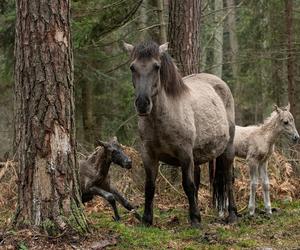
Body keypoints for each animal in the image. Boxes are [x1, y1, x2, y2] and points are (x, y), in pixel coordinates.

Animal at [123, 41, 238, 227]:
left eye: (156, 67)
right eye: (133, 67)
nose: (142, 104)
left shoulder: (184, 154)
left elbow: (188, 185)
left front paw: (196, 220)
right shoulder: (148, 155)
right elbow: (149, 186)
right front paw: (147, 220)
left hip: (227, 149)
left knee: (228, 178)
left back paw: (232, 214)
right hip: (196, 156)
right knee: (198, 179)